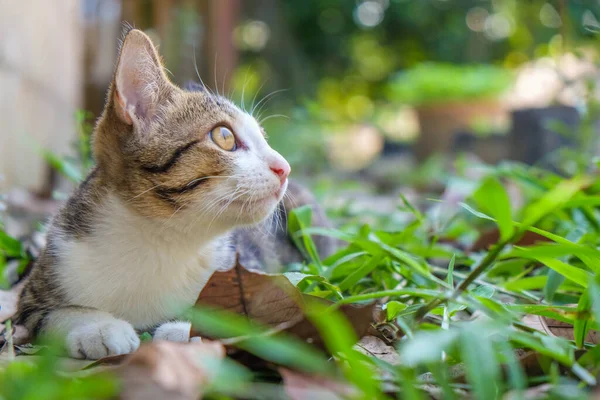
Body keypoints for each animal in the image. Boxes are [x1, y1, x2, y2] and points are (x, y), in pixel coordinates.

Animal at [12, 27, 338, 360]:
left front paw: (185, 330)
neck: (162, 240)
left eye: (263, 137)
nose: (284, 167)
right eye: (224, 136)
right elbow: (46, 314)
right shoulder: (42, 280)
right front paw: (98, 327)